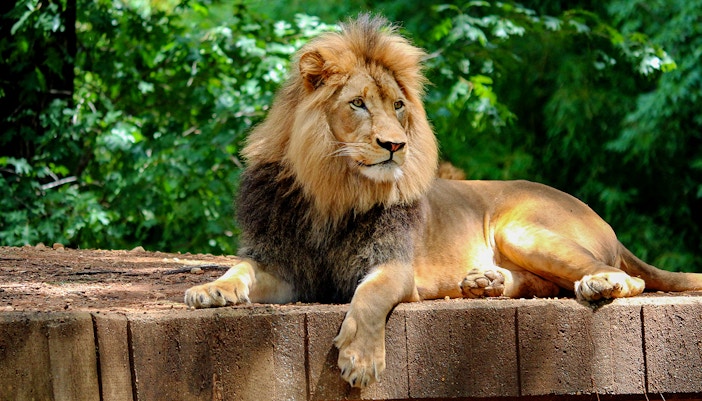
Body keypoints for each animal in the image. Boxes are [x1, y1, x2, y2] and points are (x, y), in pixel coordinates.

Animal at [184, 14, 702, 388]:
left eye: (397, 105)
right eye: (357, 104)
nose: (395, 145)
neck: (334, 192)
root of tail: (600, 218)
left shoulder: (394, 266)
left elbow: (368, 297)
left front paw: (361, 358)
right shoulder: (284, 266)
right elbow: (240, 268)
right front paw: (211, 290)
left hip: (521, 229)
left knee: (626, 278)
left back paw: (595, 284)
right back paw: (484, 283)